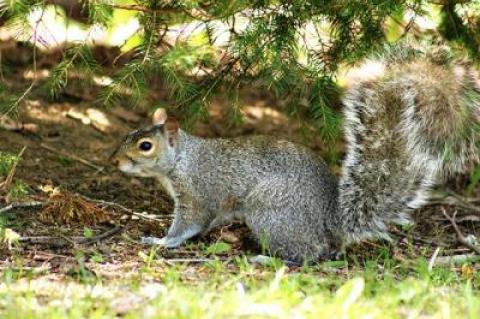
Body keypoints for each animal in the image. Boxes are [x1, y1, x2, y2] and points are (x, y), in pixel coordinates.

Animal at [110, 45, 480, 264]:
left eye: (145, 146)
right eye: (129, 134)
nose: (116, 161)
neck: (182, 160)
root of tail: (332, 223)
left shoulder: (198, 193)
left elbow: (188, 224)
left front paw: (161, 241)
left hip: (270, 211)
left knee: (307, 254)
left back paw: (267, 259)